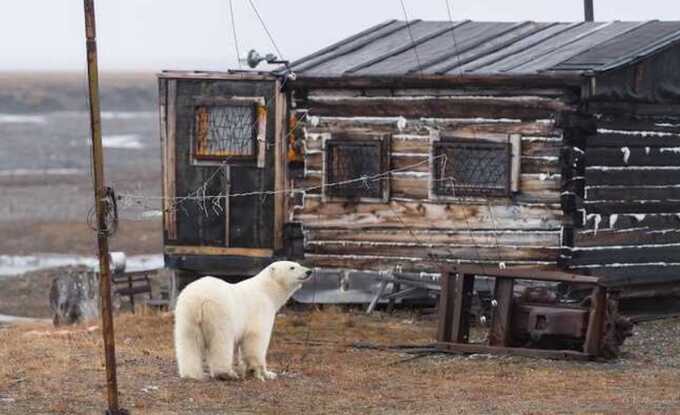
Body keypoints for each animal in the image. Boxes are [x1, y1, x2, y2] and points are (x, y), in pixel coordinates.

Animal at [175, 262, 314, 382]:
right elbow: (256, 338)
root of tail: (198, 299)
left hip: (186, 315)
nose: (309, 271)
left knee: (188, 342)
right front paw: (262, 372)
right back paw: (226, 373)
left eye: (298, 264)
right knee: (221, 341)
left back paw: (191, 373)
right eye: (292, 267)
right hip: (219, 313)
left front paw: (264, 372)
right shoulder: (261, 308)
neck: (268, 291)